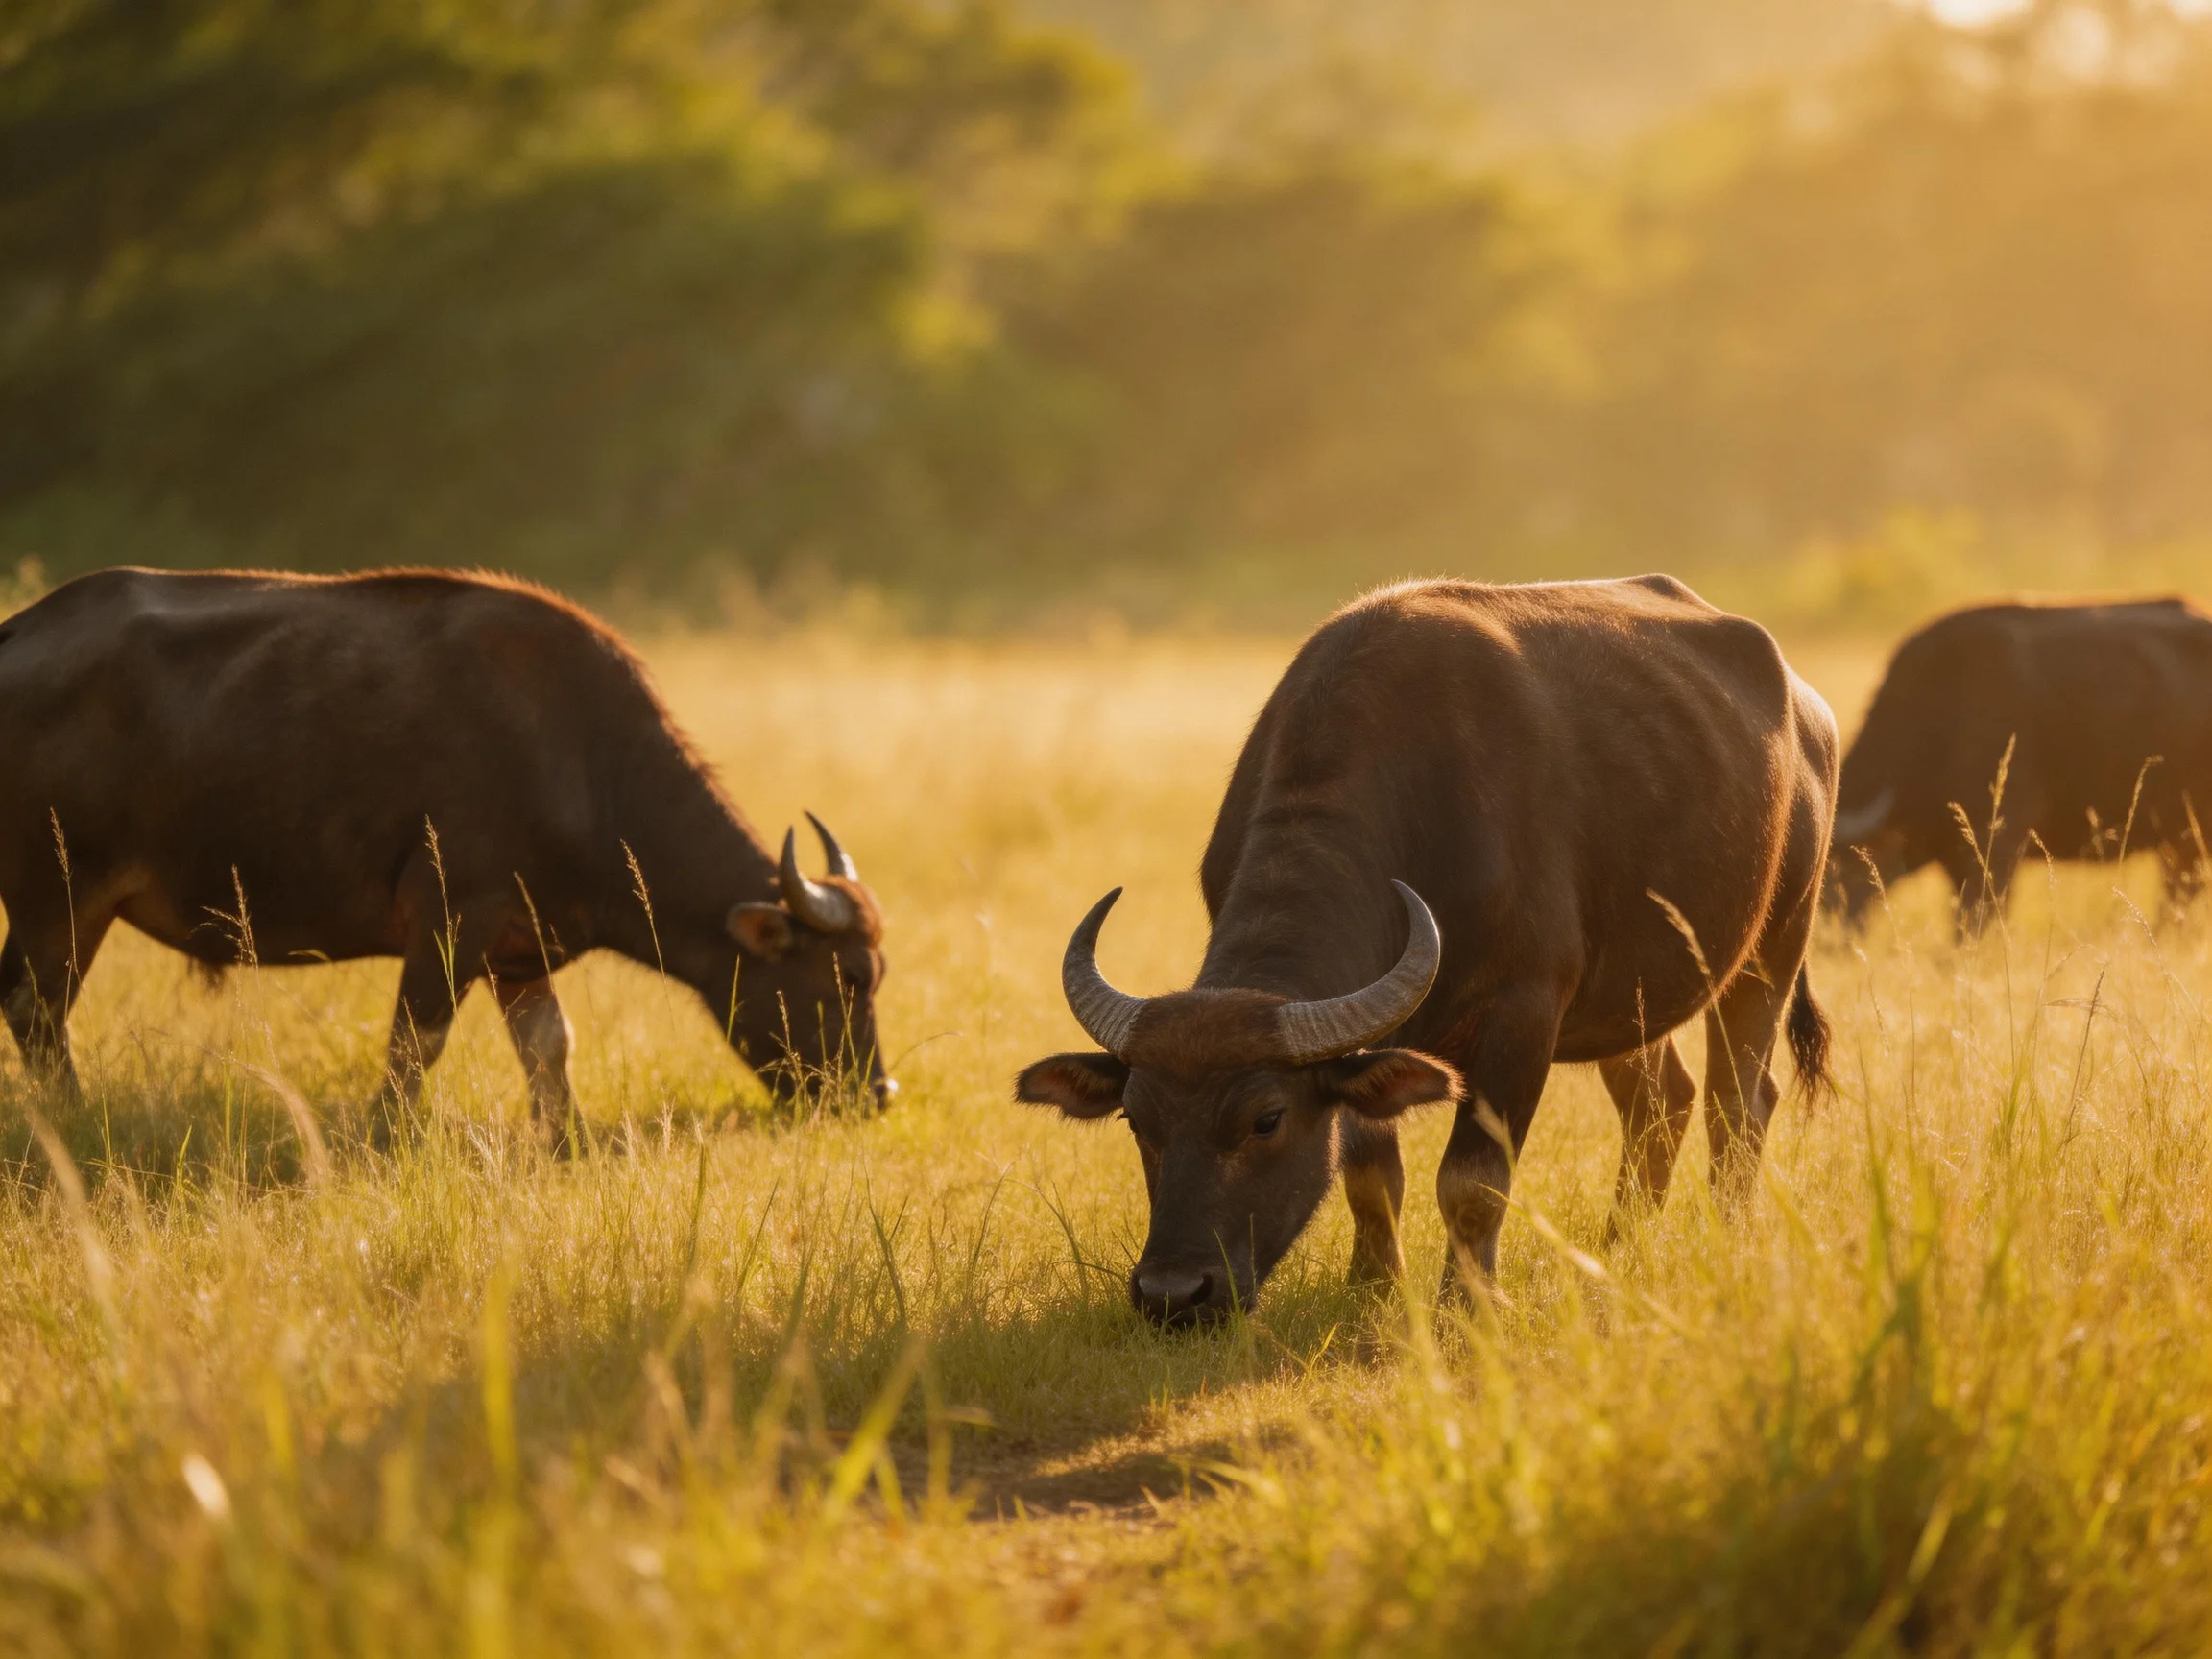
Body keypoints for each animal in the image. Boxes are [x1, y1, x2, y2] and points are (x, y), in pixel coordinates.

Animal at [0, 568, 891, 1143]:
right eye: (848, 977)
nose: (879, 1093)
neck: (584, 762)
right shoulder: (450, 920)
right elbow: (413, 1044)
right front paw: (389, 1138)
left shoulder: (517, 952)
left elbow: (550, 1048)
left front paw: (561, 1141)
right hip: (58, 897)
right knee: (37, 1010)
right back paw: (71, 1119)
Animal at [1017, 576, 1838, 1325]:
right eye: (1135, 1120)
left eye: (1266, 1119)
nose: (1171, 1295)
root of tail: (1809, 709)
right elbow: (1371, 1172)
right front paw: (1373, 1283)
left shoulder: (1522, 1019)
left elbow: (1471, 1180)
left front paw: (1467, 1302)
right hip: (1629, 1000)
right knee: (1661, 1103)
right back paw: (1620, 1245)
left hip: (1775, 940)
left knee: (1739, 1103)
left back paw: (1729, 1237)